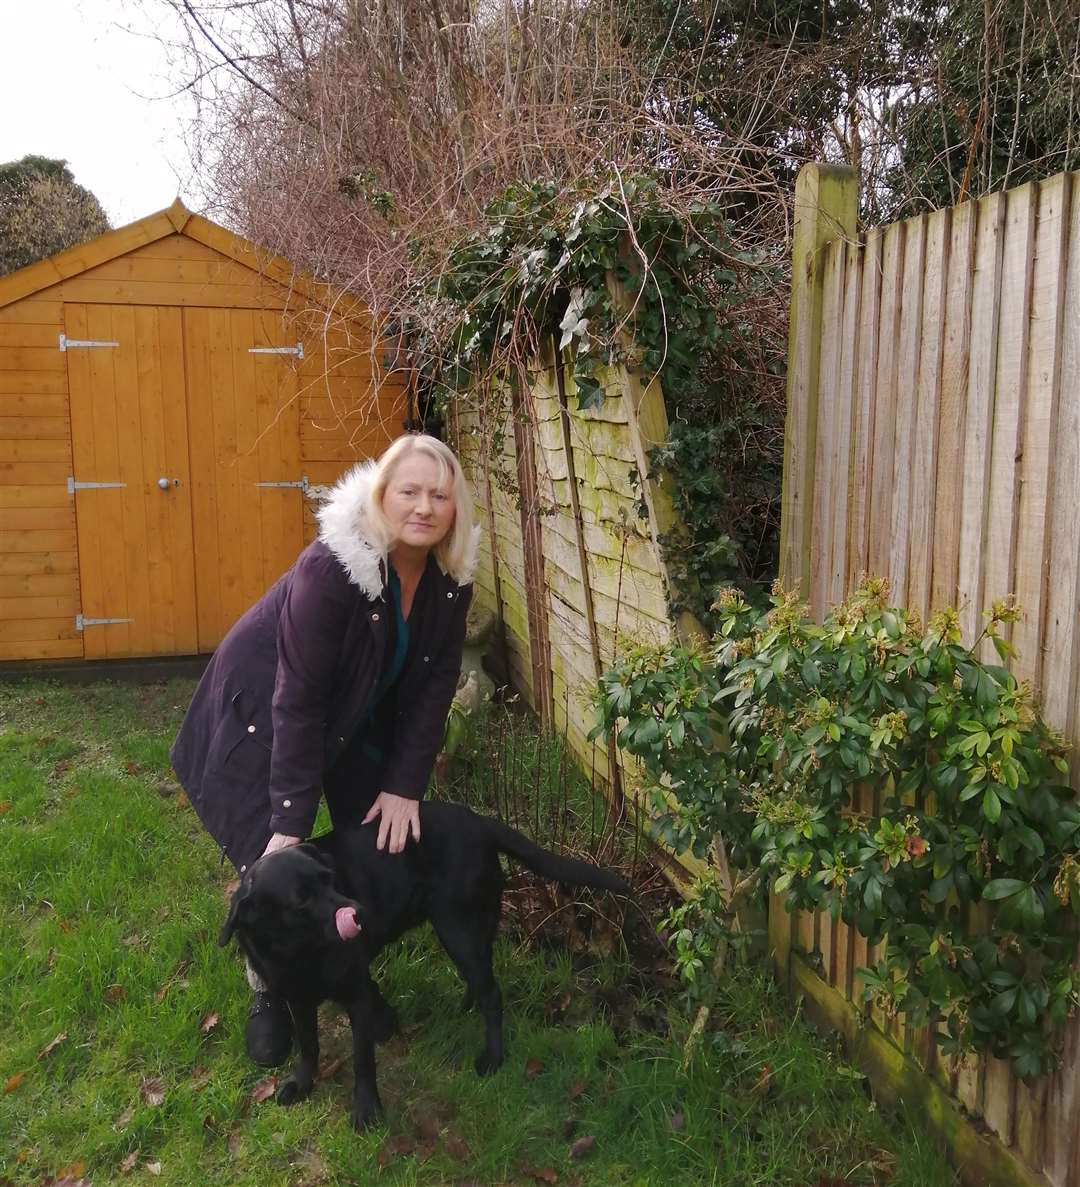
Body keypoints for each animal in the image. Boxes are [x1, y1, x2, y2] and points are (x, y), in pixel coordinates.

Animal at [217, 802, 631, 1125]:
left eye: (331, 879)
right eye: (301, 900)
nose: (360, 913)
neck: (297, 951)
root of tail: (480, 821)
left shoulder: (356, 996)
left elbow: (363, 1059)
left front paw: (367, 1110)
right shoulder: (296, 998)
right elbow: (308, 1046)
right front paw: (301, 1084)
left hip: (457, 926)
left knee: (492, 993)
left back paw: (492, 1057)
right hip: (471, 927)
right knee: (481, 979)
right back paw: (465, 1007)